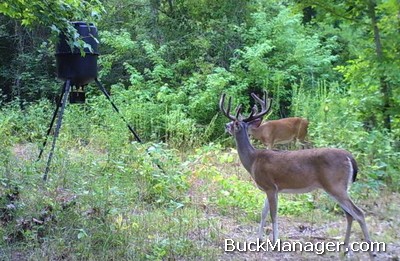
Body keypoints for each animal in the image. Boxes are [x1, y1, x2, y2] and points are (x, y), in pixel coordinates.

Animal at [220, 91, 374, 258]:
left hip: (335, 185)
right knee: (349, 214)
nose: (226, 125)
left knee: (359, 213)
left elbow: (273, 214)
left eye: (235, 123)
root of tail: (349, 157)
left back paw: (371, 252)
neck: (253, 160)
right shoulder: (273, 189)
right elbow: (263, 213)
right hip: (338, 187)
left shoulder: (270, 186)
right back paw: (345, 249)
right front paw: (259, 240)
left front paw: (275, 243)